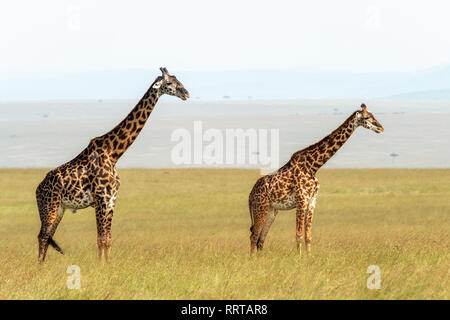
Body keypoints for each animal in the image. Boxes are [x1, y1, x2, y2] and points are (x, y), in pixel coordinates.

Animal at [35, 67, 190, 262]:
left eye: (178, 79)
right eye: (169, 83)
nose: (186, 93)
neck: (114, 153)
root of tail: (38, 189)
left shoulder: (111, 199)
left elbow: (108, 239)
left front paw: (108, 265)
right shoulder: (101, 198)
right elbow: (100, 238)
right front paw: (101, 266)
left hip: (60, 209)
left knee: (47, 236)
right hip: (49, 206)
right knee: (43, 236)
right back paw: (39, 266)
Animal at [250, 105, 384, 255]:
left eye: (373, 114)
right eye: (366, 117)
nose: (380, 128)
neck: (312, 167)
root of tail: (250, 194)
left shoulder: (312, 201)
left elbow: (308, 236)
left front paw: (309, 257)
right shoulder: (301, 201)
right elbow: (298, 234)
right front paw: (299, 258)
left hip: (272, 210)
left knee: (261, 239)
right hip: (260, 207)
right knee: (254, 236)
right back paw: (251, 259)